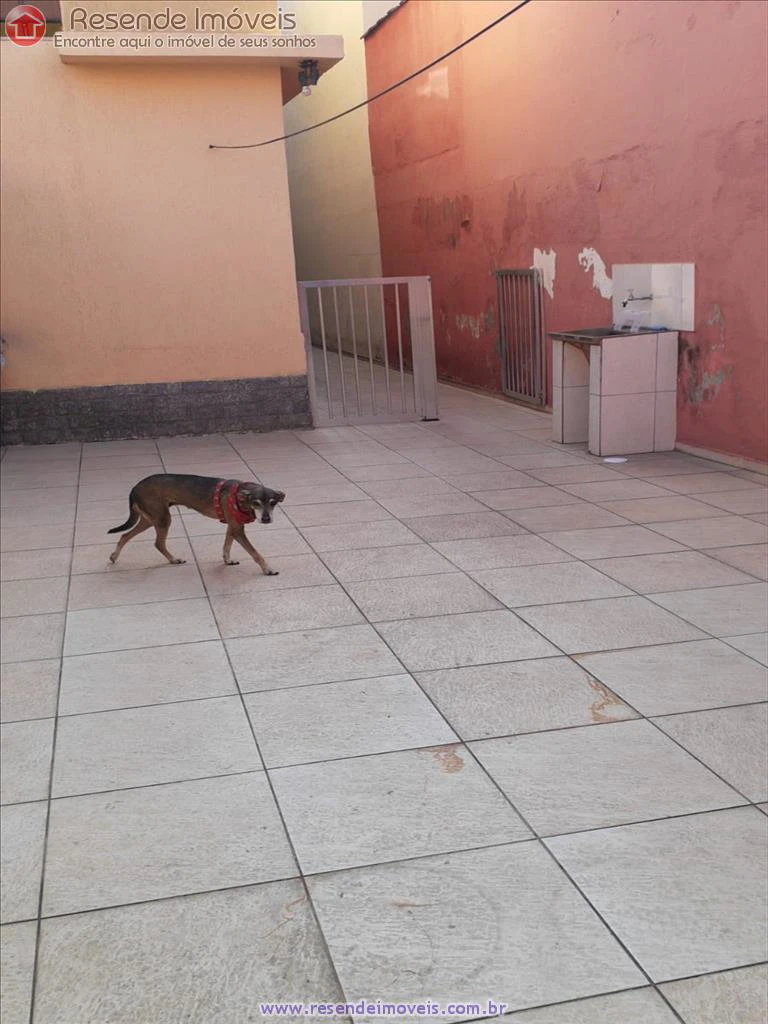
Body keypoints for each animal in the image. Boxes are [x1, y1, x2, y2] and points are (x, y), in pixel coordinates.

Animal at [108, 474, 285, 574]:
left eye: (273, 503)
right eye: (256, 503)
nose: (266, 519)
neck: (239, 497)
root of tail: (135, 487)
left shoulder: (233, 527)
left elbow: (226, 545)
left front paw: (227, 560)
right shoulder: (238, 530)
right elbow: (255, 553)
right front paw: (268, 569)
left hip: (150, 519)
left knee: (125, 535)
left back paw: (114, 556)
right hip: (162, 518)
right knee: (158, 543)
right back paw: (174, 559)